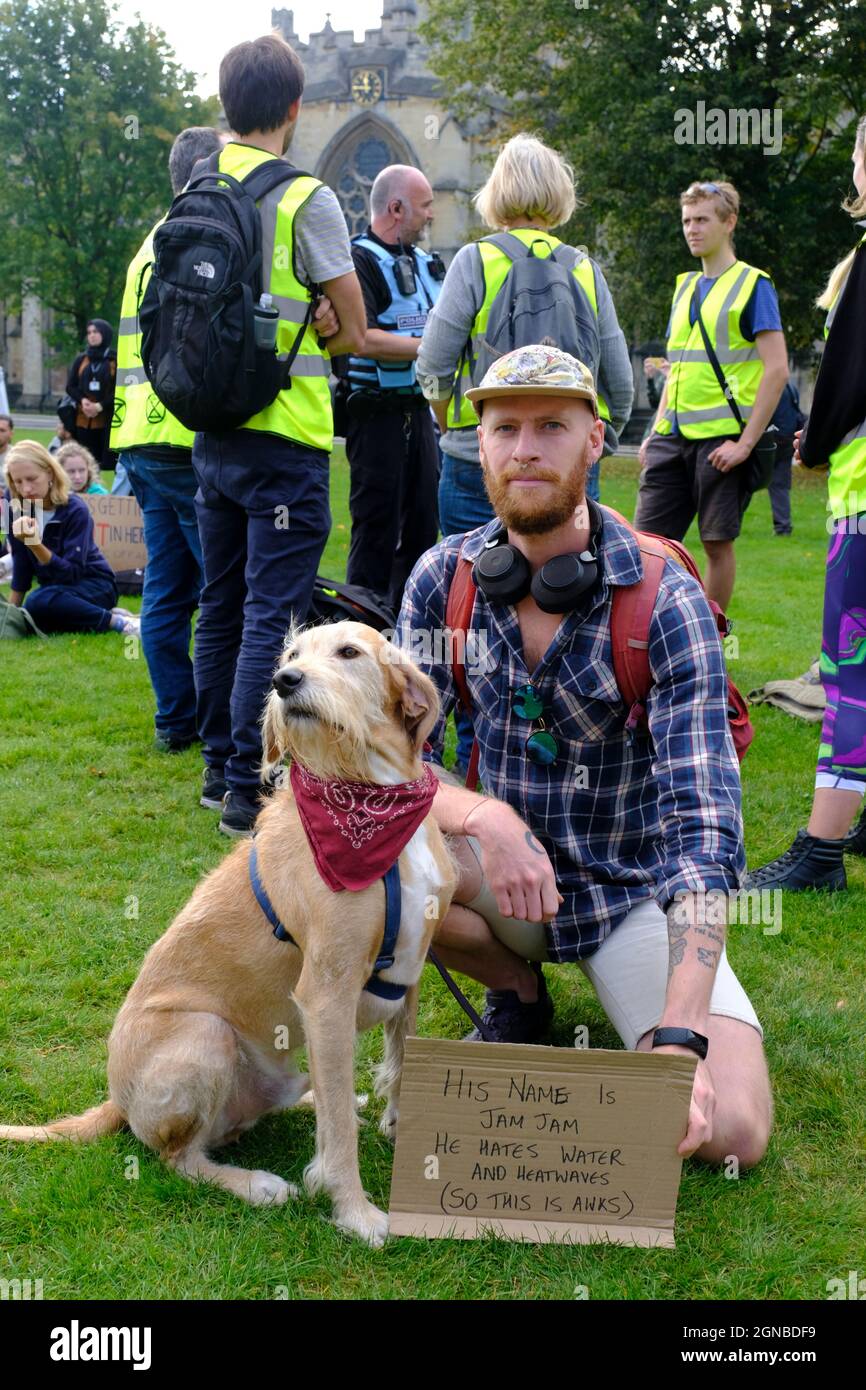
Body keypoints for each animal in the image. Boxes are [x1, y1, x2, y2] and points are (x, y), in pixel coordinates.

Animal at [0, 622, 458, 1251]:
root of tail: (117, 1101)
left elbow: (398, 1065)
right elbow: (340, 1134)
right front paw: (356, 1213)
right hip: (206, 1034)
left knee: (303, 1099)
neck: (369, 792)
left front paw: (395, 1126)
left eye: (349, 653)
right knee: (179, 1158)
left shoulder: (410, 975)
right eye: (291, 654)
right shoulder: (328, 993)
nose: (284, 680)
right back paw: (256, 1184)